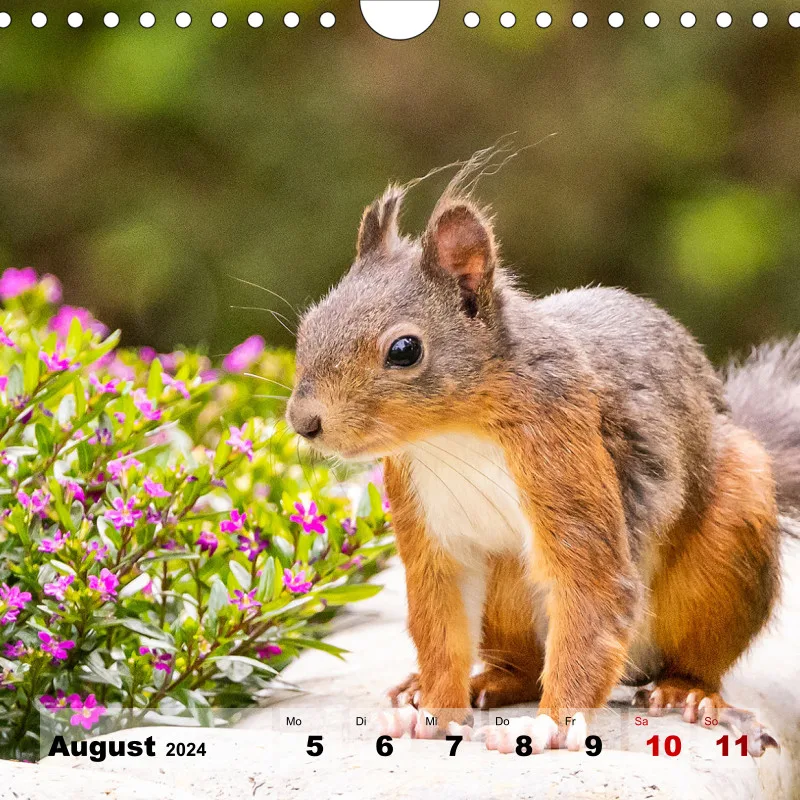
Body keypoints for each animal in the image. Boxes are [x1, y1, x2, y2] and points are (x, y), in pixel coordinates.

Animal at [286, 148, 799, 756]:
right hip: (507, 587)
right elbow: (441, 626)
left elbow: (592, 590)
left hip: (728, 539)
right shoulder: (427, 525)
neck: (453, 435)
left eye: (404, 350)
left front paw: (548, 728)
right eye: (308, 326)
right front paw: (432, 711)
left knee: (692, 656)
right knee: (525, 668)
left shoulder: (564, 450)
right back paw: (466, 683)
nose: (304, 423)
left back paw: (688, 692)